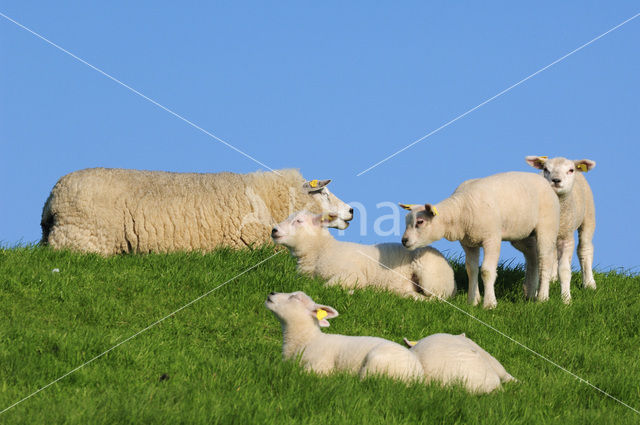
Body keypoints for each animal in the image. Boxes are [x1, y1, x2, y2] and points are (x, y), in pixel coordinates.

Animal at [264, 292, 424, 380]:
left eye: (296, 297)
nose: (271, 293)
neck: (306, 340)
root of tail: (418, 376)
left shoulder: (318, 366)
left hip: (375, 364)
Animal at [270, 211, 456, 298]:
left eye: (299, 221)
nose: (274, 230)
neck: (321, 251)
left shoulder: (353, 275)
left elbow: (326, 287)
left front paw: (354, 292)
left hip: (430, 274)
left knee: (436, 298)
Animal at [402, 170, 556, 308]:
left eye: (420, 222)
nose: (404, 240)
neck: (460, 211)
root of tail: (541, 179)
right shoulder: (468, 243)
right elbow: (471, 269)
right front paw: (473, 301)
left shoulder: (492, 239)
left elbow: (486, 271)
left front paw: (489, 303)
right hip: (522, 234)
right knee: (532, 257)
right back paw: (530, 294)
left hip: (547, 226)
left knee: (545, 259)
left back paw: (542, 297)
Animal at [528, 156, 596, 302]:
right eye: (546, 169)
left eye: (570, 170)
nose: (556, 180)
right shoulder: (540, 237)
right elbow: (542, 266)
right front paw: (541, 296)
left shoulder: (566, 237)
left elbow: (564, 270)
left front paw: (566, 299)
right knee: (553, 256)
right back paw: (552, 278)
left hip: (588, 216)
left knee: (585, 249)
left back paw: (589, 283)